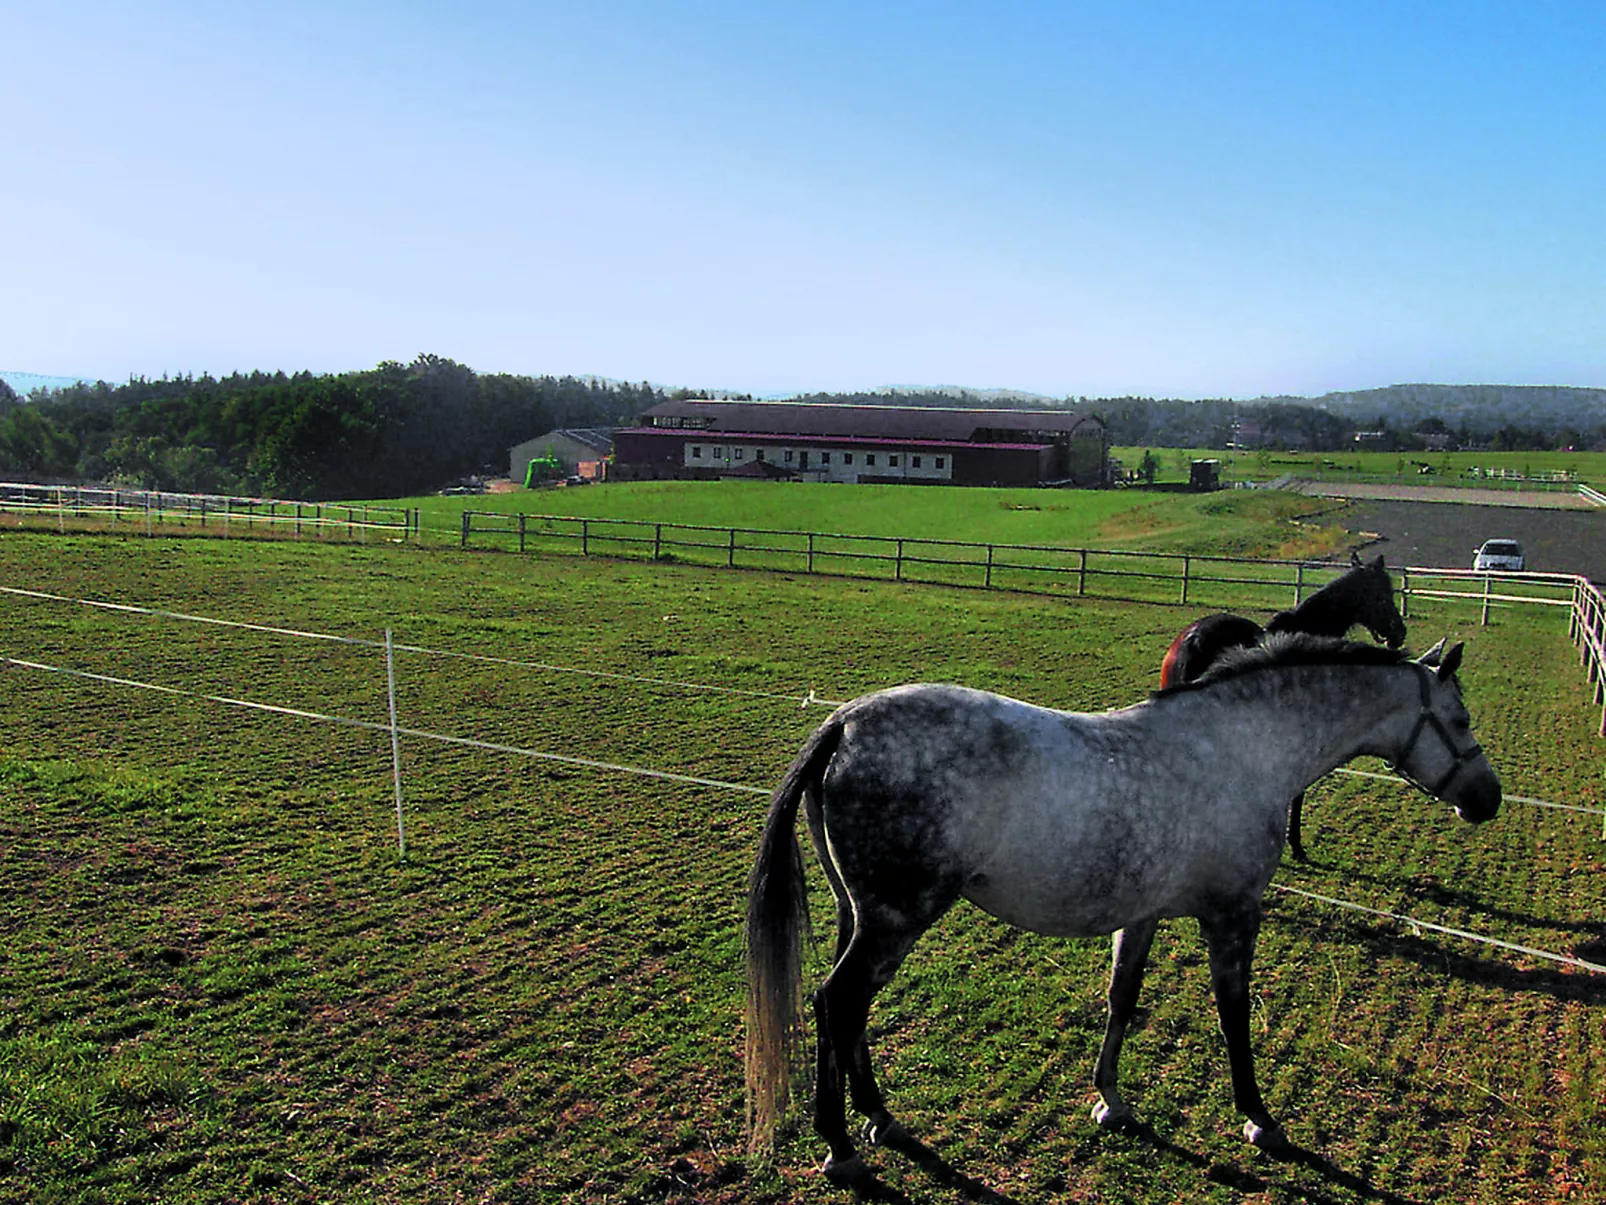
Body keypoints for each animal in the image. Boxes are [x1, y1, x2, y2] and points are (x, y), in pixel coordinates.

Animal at [745, 636, 1496, 1182]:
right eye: (1460, 719)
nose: (1487, 797)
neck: (1242, 746)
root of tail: (846, 723)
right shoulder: (1232, 914)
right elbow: (1235, 1016)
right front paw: (1259, 1117)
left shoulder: (1144, 913)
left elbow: (1122, 998)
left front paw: (1110, 1100)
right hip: (896, 921)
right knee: (837, 1003)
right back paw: (841, 1144)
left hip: (861, 916)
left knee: (849, 1012)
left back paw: (879, 1117)